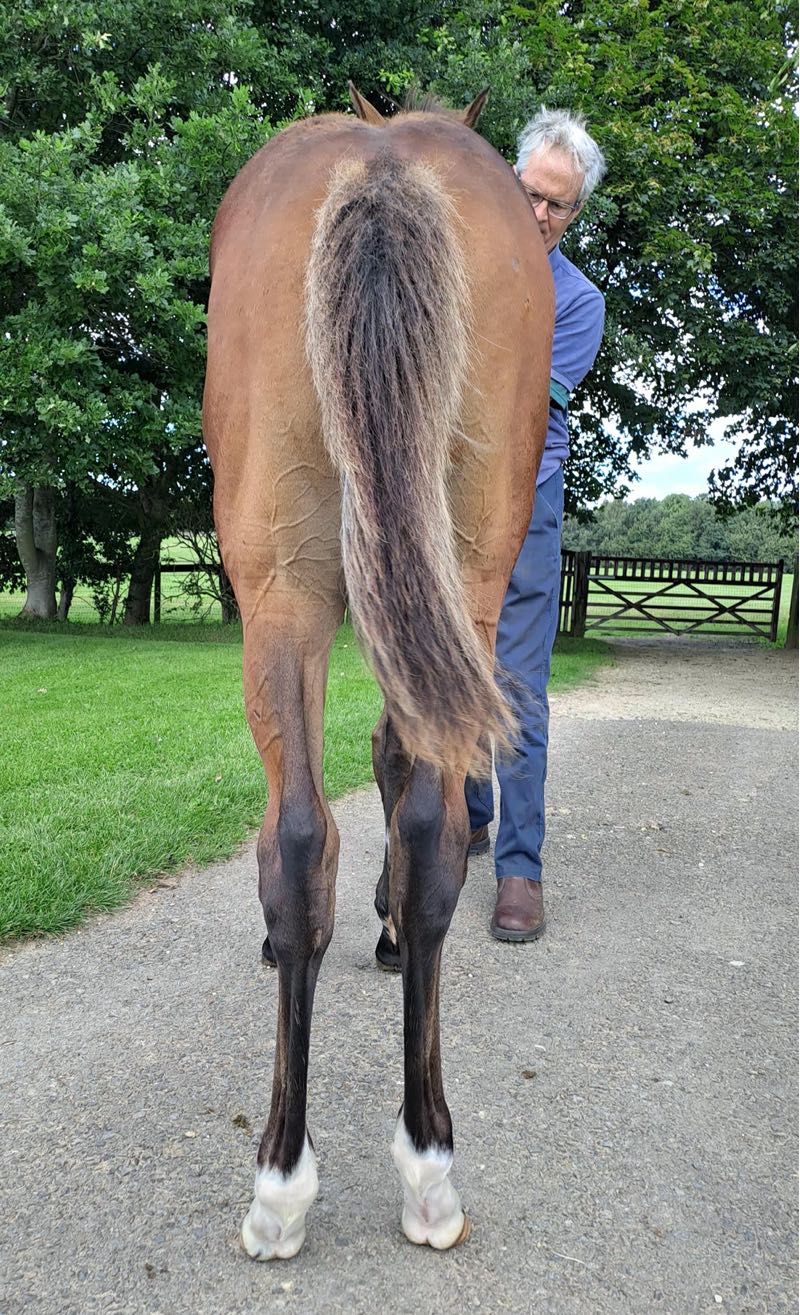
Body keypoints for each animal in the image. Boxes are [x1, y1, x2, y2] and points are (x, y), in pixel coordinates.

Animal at [202, 84, 553, 1259]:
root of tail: (383, 159)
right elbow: (401, 778)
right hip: (454, 565)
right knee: (421, 830)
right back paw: (425, 1163)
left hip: (285, 590)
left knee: (301, 832)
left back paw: (282, 1179)